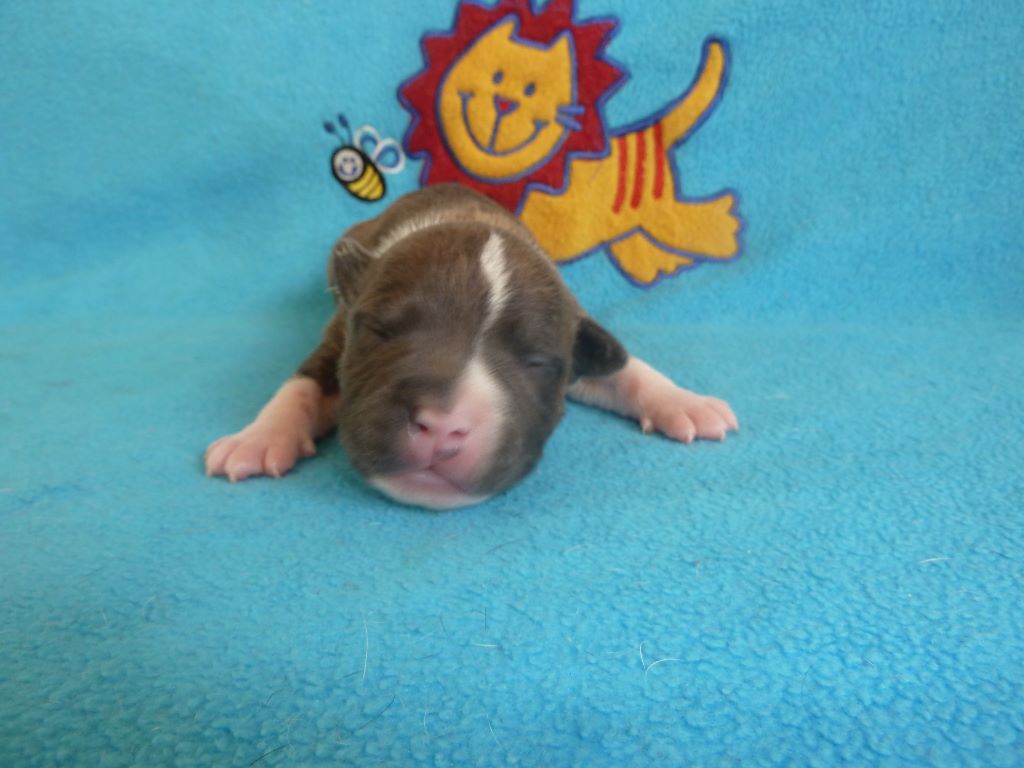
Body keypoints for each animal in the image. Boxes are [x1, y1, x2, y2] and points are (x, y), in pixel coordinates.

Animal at [204, 184, 738, 508]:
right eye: (379, 330)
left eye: (537, 361)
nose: (442, 427)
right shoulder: (339, 333)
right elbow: (303, 383)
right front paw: (258, 438)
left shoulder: (578, 335)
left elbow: (622, 367)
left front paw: (683, 401)